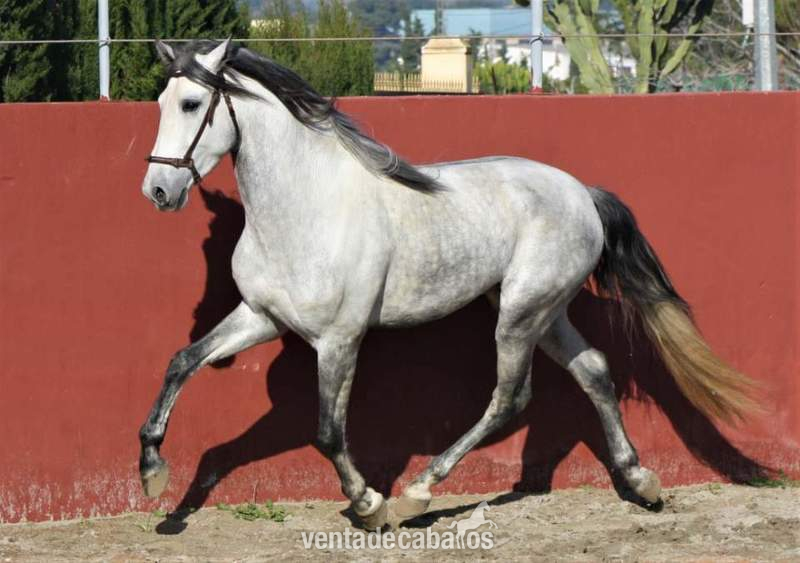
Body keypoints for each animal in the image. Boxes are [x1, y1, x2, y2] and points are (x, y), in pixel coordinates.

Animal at [138, 39, 756, 530]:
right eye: (161, 102)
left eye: (192, 104)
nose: (159, 191)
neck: (305, 210)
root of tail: (582, 192)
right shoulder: (261, 317)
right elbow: (180, 362)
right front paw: (152, 474)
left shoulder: (339, 340)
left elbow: (329, 432)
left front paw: (369, 505)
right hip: (544, 311)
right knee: (595, 371)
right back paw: (641, 482)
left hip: (520, 315)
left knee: (510, 398)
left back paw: (418, 493)